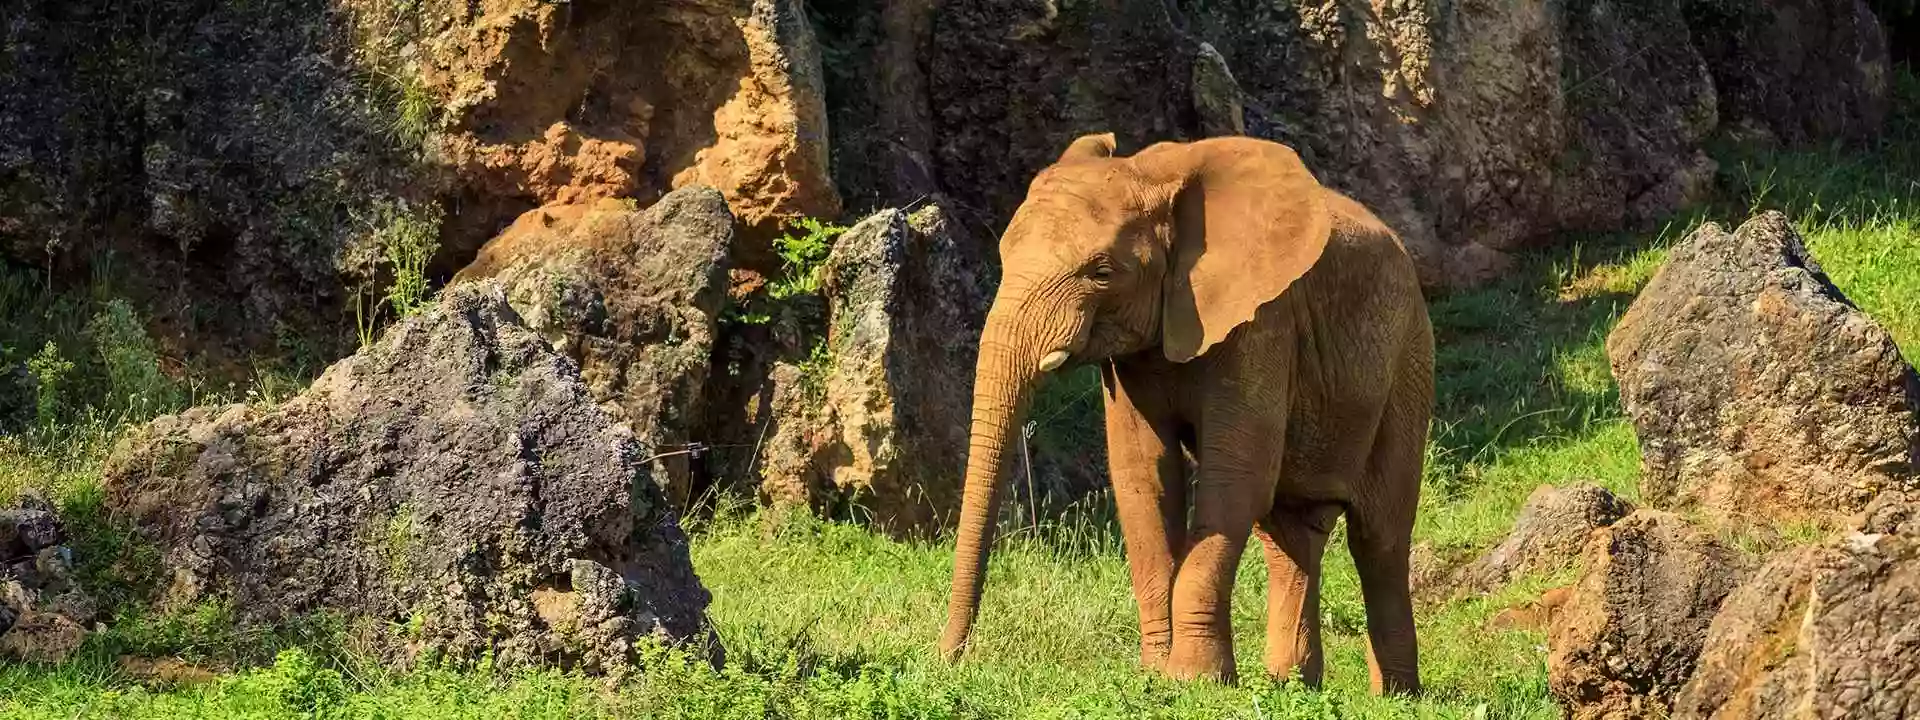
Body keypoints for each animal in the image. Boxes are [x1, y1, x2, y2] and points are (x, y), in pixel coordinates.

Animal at [936, 134, 1436, 695]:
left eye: (1103, 272)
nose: (949, 659)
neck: (1153, 176)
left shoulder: (1263, 322)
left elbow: (1234, 479)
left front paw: (1194, 681)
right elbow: (1144, 479)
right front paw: (1156, 676)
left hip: (1408, 361)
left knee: (1379, 535)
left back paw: (1394, 695)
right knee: (1289, 532)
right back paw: (1288, 686)